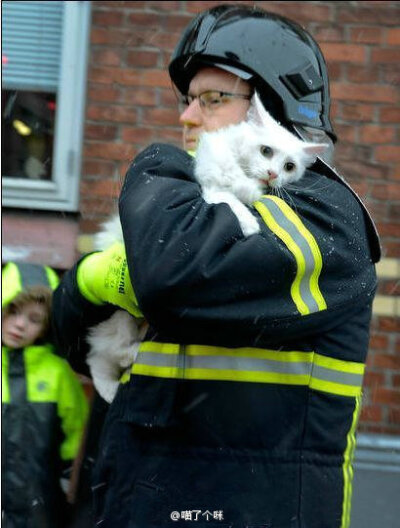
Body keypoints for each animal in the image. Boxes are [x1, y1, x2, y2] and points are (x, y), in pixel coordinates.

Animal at [194, 93, 328, 237]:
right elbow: (227, 195)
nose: (273, 174)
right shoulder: (211, 170)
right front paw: (249, 223)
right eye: (266, 151)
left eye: (289, 167)